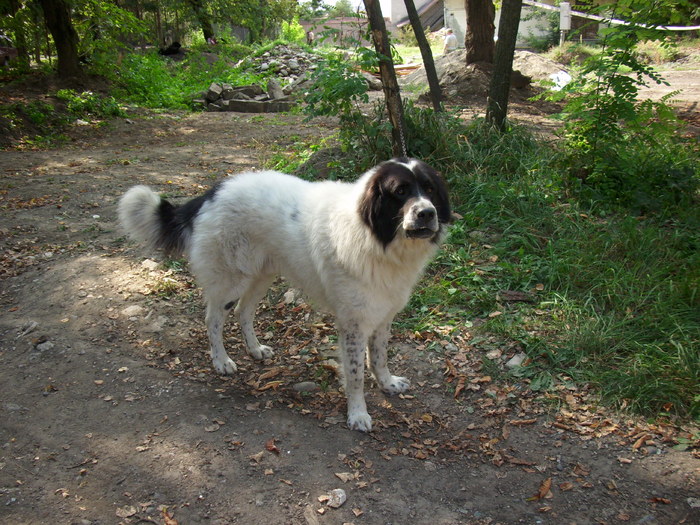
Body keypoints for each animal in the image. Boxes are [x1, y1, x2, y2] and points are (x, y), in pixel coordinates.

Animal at [118, 159, 452, 430]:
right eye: (400, 191)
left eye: (429, 189)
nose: (427, 213)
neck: (375, 237)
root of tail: (212, 192)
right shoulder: (353, 325)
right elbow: (356, 374)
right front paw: (357, 414)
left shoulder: (382, 314)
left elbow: (379, 356)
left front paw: (387, 383)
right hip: (231, 280)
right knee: (213, 318)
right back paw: (221, 361)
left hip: (261, 275)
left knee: (243, 311)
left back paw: (255, 349)